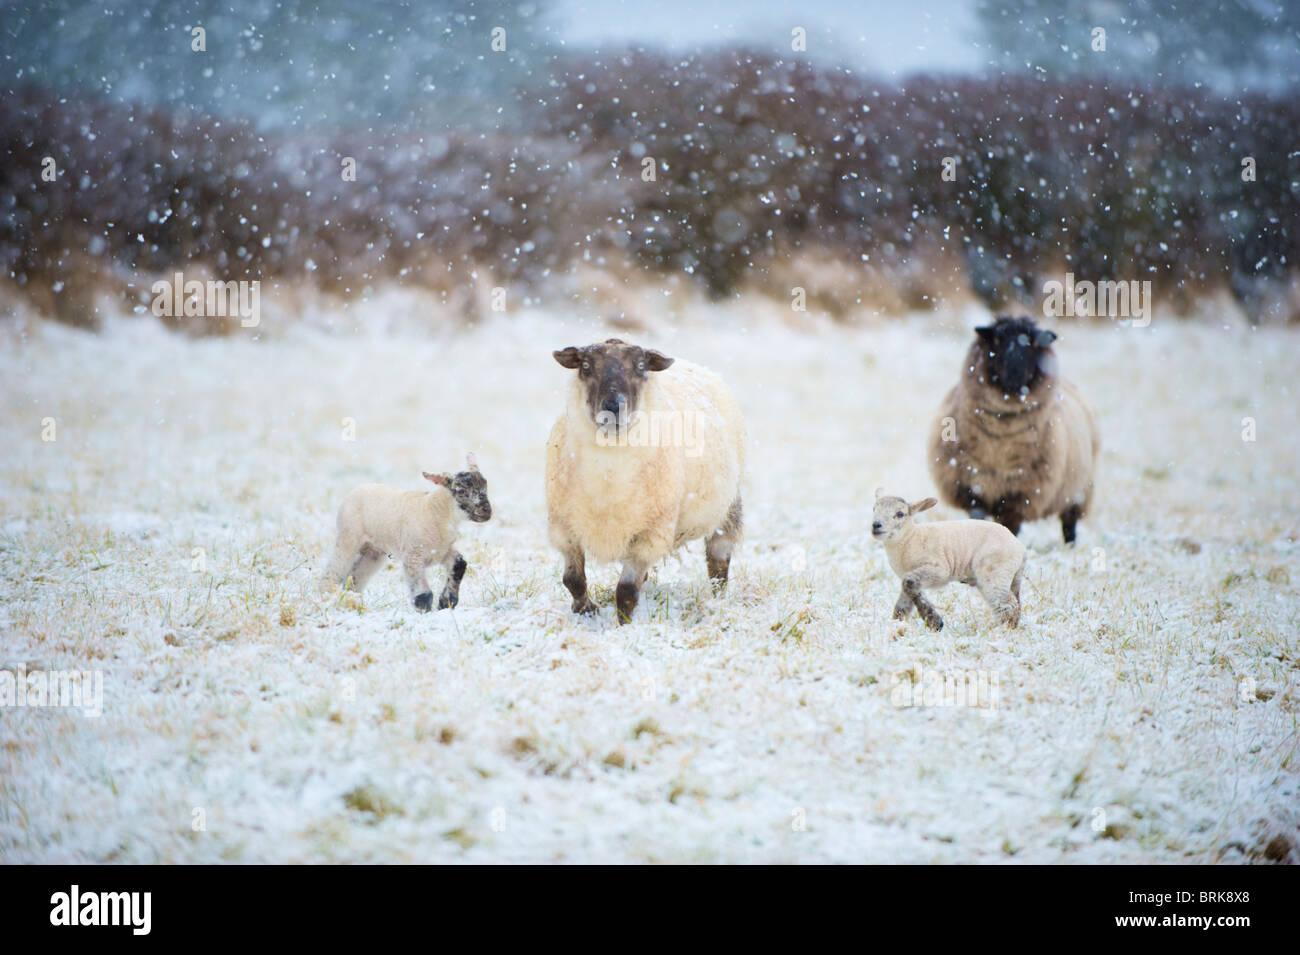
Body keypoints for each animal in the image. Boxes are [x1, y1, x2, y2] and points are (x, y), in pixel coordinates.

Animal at [321, 454, 491, 613]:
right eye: (461, 491)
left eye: (486, 486)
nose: (487, 511)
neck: (435, 510)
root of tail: (355, 490)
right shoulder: (413, 555)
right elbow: (424, 594)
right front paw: (425, 611)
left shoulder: (441, 552)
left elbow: (459, 563)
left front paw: (447, 601)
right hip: (348, 537)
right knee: (333, 571)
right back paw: (327, 598)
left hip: (373, 551)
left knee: (355, 577)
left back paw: (352, 600)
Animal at [546, 340, 748, 623]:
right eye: (585, 365)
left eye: (641, 366)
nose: (613, 407)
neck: (607, 478)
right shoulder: (563, 528)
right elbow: (572, 579)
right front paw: (585, 610)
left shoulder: (650, 534)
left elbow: (626, 590)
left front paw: (625, 625)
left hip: (727, 507)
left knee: (718, 560)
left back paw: (717, 602)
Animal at [873, 488, 1024, 631]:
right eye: (874, 509)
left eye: (900, 513)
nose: (876, 525)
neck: (909, 538)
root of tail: (1020, 548)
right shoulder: (910, 574)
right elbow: (903, 602)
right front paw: (897, 625)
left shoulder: (939, 570)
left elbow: (908, 583)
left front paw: (934, 622)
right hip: (1009, 576)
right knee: (1013, 602)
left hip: (994, 572)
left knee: (1008, 604)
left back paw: (1004, 630)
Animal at [925, 317, 1097, 540]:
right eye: (997, 340)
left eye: (1033, 344)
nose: (1015, 374)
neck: (1000, 437)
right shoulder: (971, 488)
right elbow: (978, 518)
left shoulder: (1020, 497)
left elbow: (1009, 528)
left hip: (1078, 492)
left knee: (1069, 524)